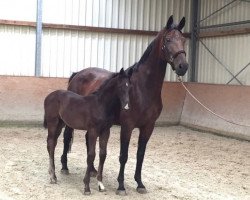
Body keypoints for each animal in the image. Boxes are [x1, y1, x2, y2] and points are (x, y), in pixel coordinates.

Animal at [61, 16, 188, 195]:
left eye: (183, 40)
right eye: (168, 39)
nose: (183, 66)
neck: (142, 88)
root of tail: (78, 74)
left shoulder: (148, 127)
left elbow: (140, 155)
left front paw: (140, 184)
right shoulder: (127, 126)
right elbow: (124, 155)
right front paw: (121, 186)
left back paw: (92, 170)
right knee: (66, 138)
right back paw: (64, 167)